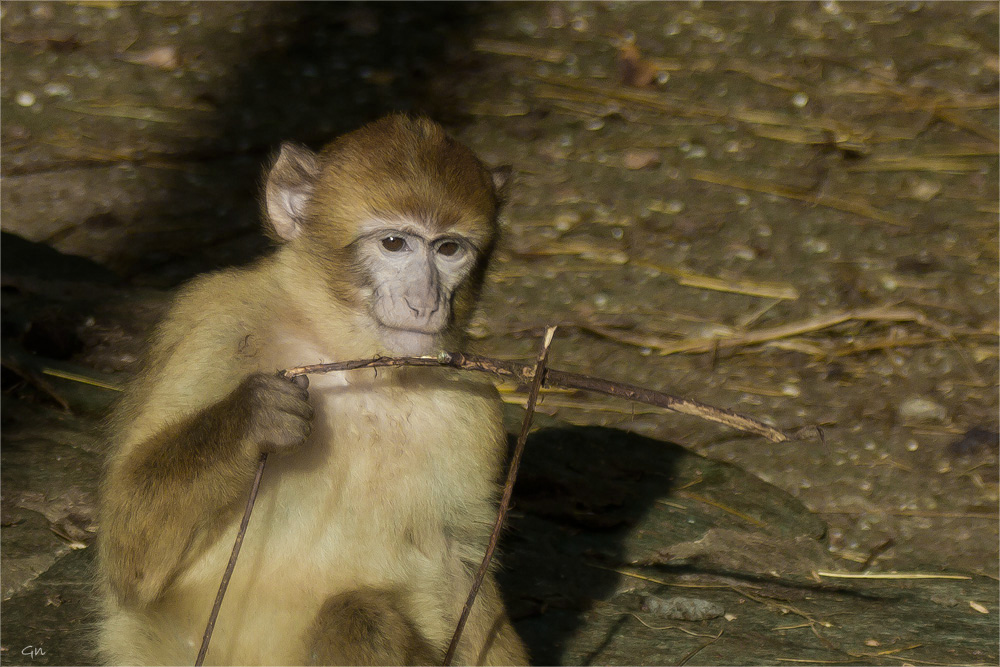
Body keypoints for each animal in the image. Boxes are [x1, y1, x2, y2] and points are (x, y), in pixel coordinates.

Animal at [96, 117, 528, 664]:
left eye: (449, 249)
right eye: (394, 243)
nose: (425, 303)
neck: (354, 361)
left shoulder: (474, 406)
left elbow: (460, 566)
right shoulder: (212, 323)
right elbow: (127, 551)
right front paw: (254, 417)